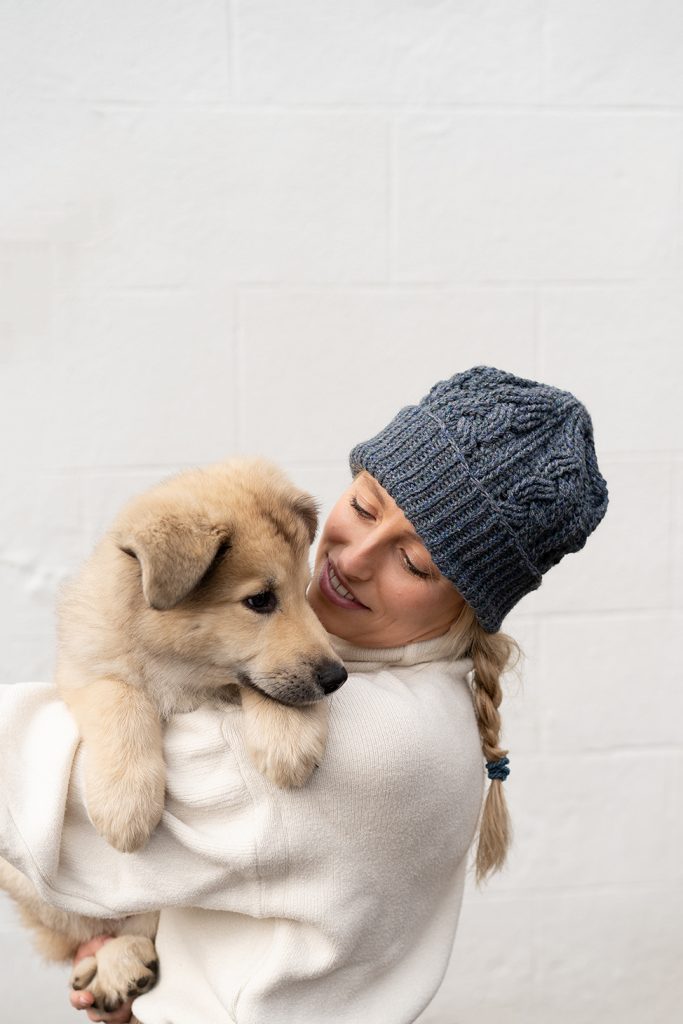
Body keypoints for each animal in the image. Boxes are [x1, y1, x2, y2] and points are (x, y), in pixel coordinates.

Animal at [0, 458, 342, 1015]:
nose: (338, 678)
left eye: (305, 590)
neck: (180, 669)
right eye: (259, 600)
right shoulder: (85, 672)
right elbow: (122, 699)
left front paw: (289, 737)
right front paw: (125, 804)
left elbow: (262, 687)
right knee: (97, 930)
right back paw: (116, 962)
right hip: (26, 883)